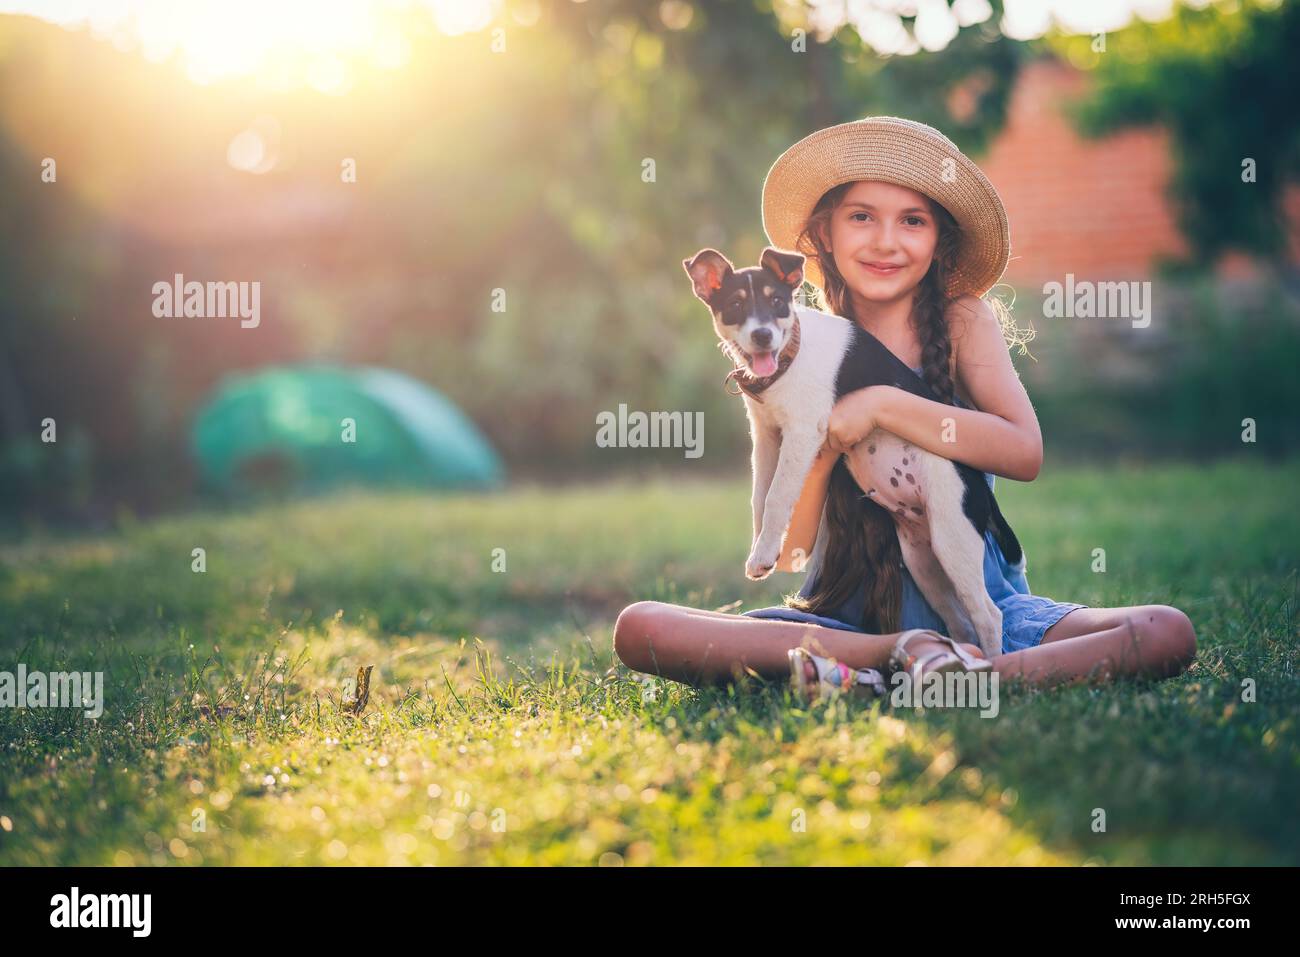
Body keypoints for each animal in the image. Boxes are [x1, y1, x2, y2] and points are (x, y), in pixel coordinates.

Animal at [686, 244, 1019, 657]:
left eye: (778, 302)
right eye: (735, 304)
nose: (762, 336)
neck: (791, 353)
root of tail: (980, 490)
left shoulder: (802, 432)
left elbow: (777, 497)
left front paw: (764, 555)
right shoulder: (765, 438)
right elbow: (759, 498)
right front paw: (761, 548)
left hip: (953, 538)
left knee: (989, 617)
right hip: (923, 561)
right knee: (960, 622)